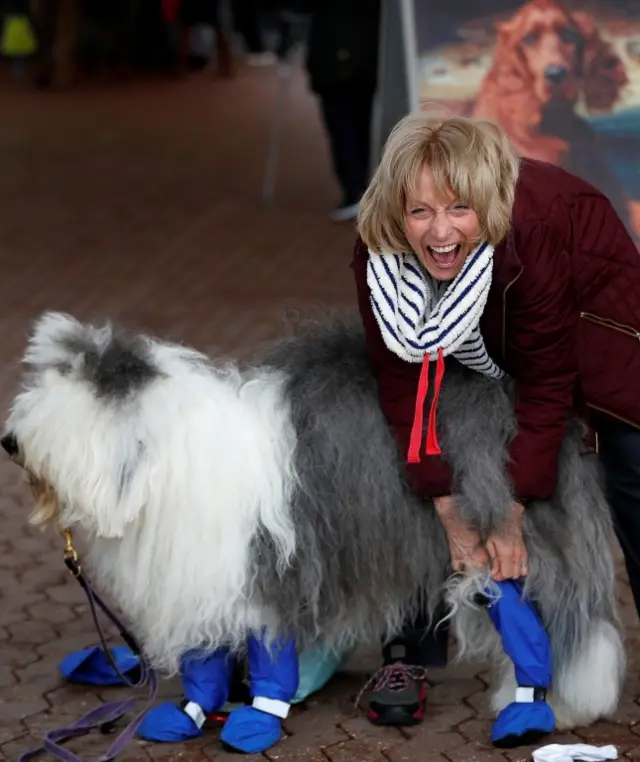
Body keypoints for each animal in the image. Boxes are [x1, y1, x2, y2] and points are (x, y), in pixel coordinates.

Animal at [1, 308, 624, 732]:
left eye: (52, 404)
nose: (8, 441)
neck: (157, 456)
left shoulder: (258, 571)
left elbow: (268, 654)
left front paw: (255, 721)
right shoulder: (200, 580)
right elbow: (205, 662)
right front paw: (188, 716)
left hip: (505, 541)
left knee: (551, 623)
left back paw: (556, 705)